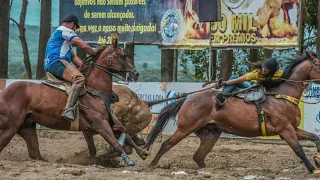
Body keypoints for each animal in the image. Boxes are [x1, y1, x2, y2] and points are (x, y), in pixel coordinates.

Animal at [0, 35, 148, 167]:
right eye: (123, 56)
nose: (136, 73)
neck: (95, 90)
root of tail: (4, 93)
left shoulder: (95, 127)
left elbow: (124, 136)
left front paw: (142, 152)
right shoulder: (100, 124)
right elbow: (116, 143)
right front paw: (128, 160)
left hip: (27, 127)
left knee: (35, 153)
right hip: (10, 127)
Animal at [146, 51, 320, 174]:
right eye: (318, 64)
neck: (281, 95)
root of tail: (187, 99)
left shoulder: (293, 128)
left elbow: (315, 137)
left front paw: (317, 158)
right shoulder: (284, 129)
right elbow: (299, 150)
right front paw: (312, 168)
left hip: (210, 134)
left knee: (198, 157)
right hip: (185, 128)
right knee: (166, 144)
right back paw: (151, 166)